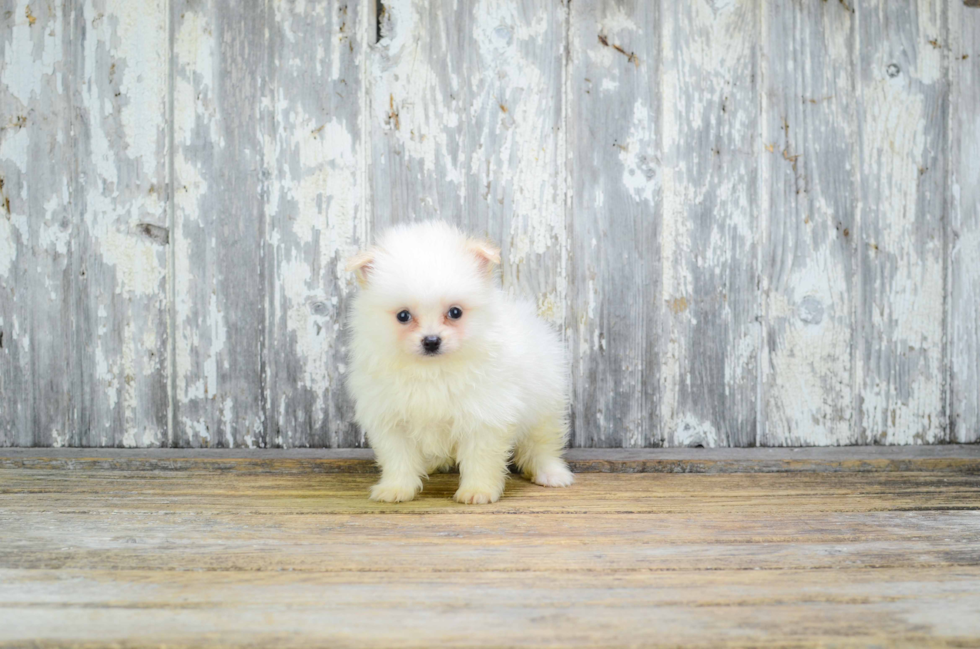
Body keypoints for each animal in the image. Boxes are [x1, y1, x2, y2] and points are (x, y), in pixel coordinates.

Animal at [344, 220, 576, 504]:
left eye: (455, 312)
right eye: (403, 316)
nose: (431, 341)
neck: (432, 370)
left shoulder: (484, 416)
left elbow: (481, 458)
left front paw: (478, 490)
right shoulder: (391, 419)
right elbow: (398, 457)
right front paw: (396, 488)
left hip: (544, 407)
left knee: (542, 445)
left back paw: (551, 474)